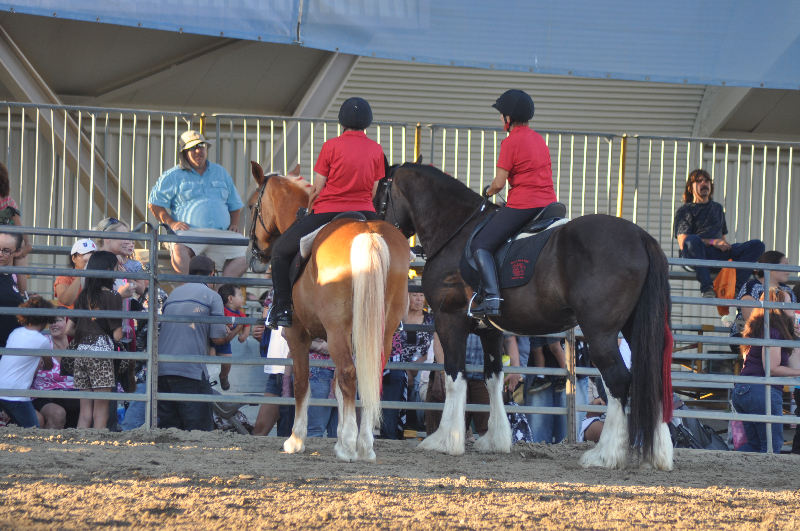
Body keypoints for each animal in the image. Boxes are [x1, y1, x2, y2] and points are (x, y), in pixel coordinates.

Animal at [247, 161, 410, 462]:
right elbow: (338, 387)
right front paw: (342, 437)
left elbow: (302, 384)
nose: (254, 257)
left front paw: (296, 440)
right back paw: (365, 446)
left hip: (336, 330)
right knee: (368, 376)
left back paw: (349, 449)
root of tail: (367, 234)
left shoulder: (297, 336)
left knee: (348, 373)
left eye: (253, 205)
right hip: (379, 330)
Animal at [374, 163, 674, 470]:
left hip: (599, 332)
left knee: (618, 381)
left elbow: (454, 376)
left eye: (380, 191)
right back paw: (659, 455)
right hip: (634, 328)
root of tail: (640, 236)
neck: (456, 230)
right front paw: (495, 440)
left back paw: (605, 454)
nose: (383, 230)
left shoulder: (449, 320)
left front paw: (446, 440)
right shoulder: (489, 330)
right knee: (656, 378)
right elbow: (493, 376)